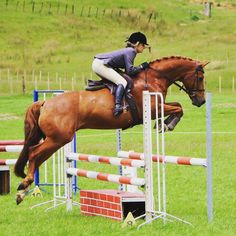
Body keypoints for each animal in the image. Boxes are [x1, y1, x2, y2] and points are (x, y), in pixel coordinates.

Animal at [13, 56, 208, 204]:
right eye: (200, 78)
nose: (201, 101)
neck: (153, 78)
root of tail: (45, 103)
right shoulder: (153, 108)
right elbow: (178, 108)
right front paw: (167, 124)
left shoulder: (159, 106)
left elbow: (178, 105)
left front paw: (166, 124)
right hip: (59, 138)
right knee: (33, 153)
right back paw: (23, 187)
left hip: (57, 139)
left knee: (37, 157)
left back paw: (24, 190)